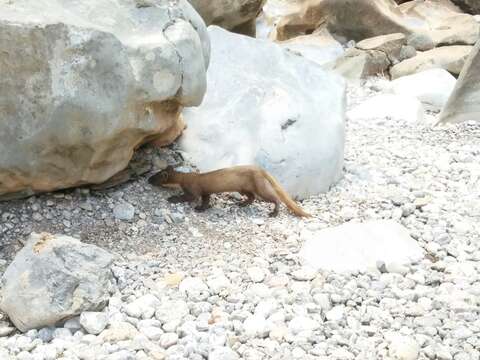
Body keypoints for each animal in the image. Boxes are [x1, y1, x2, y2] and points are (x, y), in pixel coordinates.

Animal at [147, 165, 312, 218]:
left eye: (155, 176)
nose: (147, 179)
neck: (185, 178)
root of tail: (260, 168)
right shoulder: (206, 191)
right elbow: (206, 200)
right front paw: (202, 208)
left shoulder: (193, 189)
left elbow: (191, 197)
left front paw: (173, 199)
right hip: (244, 188)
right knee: (251, 197)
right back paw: (241, 204)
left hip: (260, 186)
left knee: (274, 198)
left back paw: (273, 213)